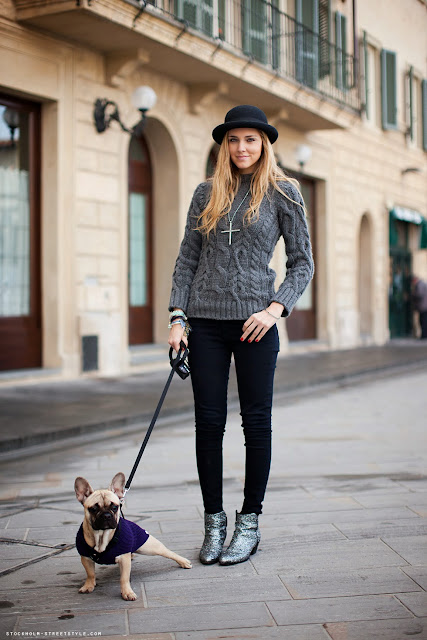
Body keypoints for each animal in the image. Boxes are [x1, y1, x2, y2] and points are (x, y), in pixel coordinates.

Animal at [75, 472, 192, 600]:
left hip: (150, 547)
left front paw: (127, 592)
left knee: (169, 553)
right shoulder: (85, 557)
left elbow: (124, 578)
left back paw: (183, 562)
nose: (106, 515)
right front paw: (88, 585)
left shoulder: (124, 559)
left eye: (114, 507)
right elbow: (90, 574)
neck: (101, 536)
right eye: (94, 509)